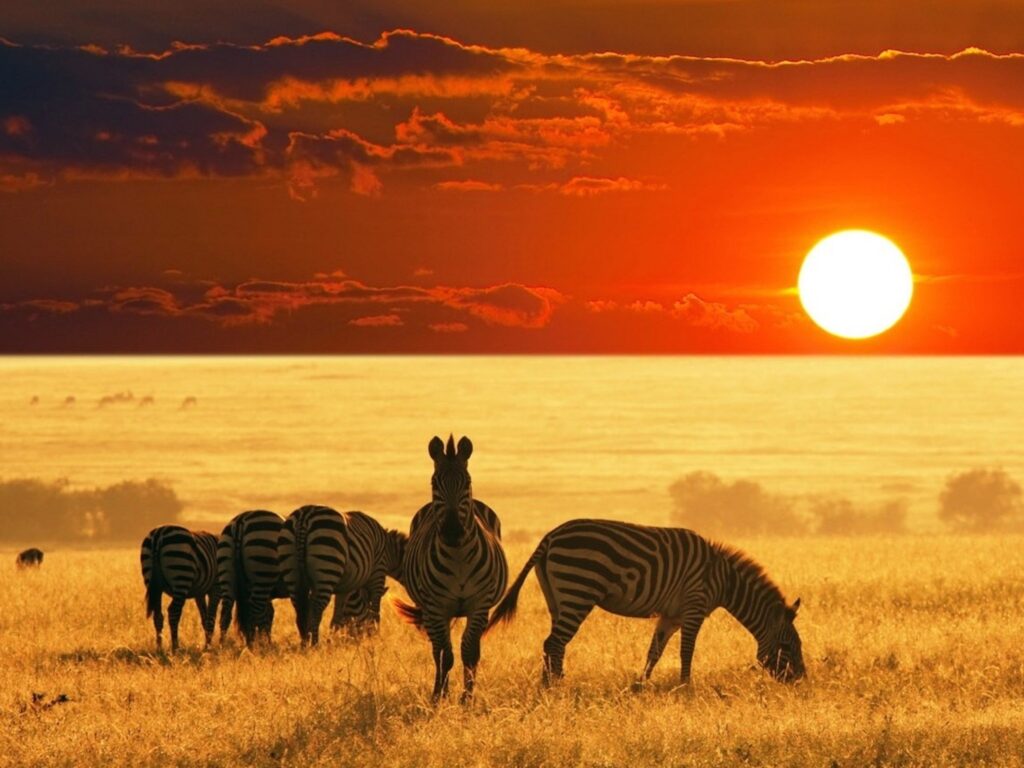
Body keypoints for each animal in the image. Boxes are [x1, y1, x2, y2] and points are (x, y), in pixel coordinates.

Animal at [217, 510, 288, 646]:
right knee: (255, 611)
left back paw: (223, 646)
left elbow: (268, 615)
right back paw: (258, 647)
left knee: (226, 613)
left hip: (227, 573)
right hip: (264, 573)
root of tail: (241, 519)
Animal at [278, 505, 406, 645]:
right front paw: (376, 637)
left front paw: (331, 640)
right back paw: (315, 644)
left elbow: (337, 616)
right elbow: (375, 611)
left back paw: (305, 643)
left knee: (300, 609)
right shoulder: (378, 574)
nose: (364, 638)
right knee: (317, 608)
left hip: (292, 571)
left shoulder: (345, 587)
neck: (389, 552)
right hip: (327, 565)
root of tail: (305, 516)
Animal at [394, 435, 508, 703]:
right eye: (434, 483)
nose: (453, 531)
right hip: (432, 610)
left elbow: (469, 652)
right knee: (437, 650)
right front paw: (441, 696)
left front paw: (467, 698)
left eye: (467, 482)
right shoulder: (436, 607)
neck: (458, 557)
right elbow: (446, 655)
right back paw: (438, 690)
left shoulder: (479, 604)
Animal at [487, 519, 805, 685]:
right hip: (578, 589)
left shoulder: (671, 615)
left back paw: (551, 684)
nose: (801, 680)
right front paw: (686, 688)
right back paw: (554, 688)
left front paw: (640, 685)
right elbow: (686, 652)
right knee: (554, 642)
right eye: (788, 646)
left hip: (557, 597)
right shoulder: (694, 607)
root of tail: (551, 536)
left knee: (553, 643)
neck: (724, 579)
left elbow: (655, 651)